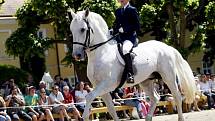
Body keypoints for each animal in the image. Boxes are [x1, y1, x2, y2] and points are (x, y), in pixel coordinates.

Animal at [69, 8, 197, 121]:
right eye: (71, 30)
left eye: (83, 29)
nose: (76, 55)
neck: (102, 52)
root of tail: (167, 47)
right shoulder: (100, 87)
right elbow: (111, 109)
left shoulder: (108, 84)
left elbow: (89, 96)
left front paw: (85, 116)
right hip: (146, 81)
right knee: (155, 98)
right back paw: (148, 118)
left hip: (168, 77)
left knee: (177, 96)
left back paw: (180, 118)